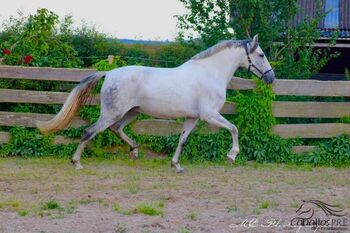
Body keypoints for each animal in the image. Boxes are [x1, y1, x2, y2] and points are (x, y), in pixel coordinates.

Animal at [37, 35, 274, 173]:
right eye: (261, 54)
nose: (271, 78)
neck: (210, 73)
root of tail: (109, 73)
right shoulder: (209, 115)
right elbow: (234, 128)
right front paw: (232, 156)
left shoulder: (192, 118)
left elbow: (182, 141)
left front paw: (176, 165)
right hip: (113, 113)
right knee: (89, 131)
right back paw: (77, 162)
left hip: (131, 112)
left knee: (116, 129)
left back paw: (134, 151)